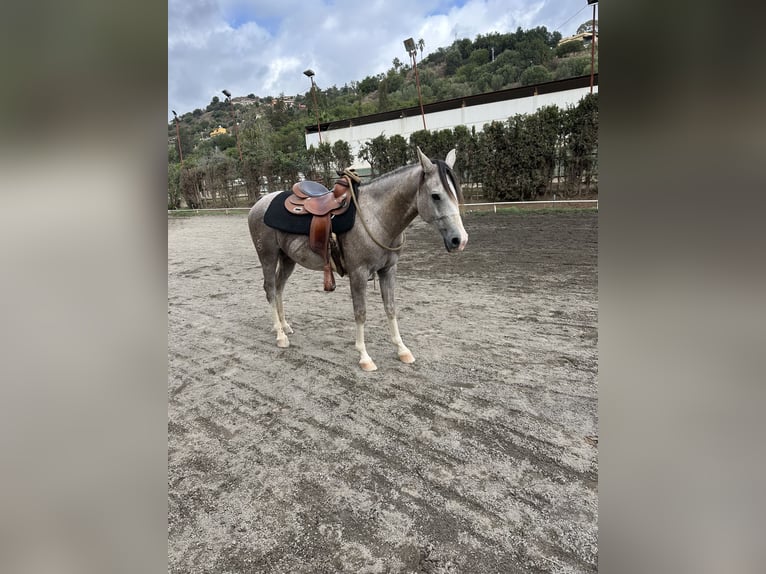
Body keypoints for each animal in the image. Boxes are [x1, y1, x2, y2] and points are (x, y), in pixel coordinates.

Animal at [250, 148, 468, 374]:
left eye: (456, 193)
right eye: (436, 195)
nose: (459, 240)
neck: (376, 217)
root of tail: (260, 203)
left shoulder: (388, 270)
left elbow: (391, 308)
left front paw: (402, 349)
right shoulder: (359, 273)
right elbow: (360, 313)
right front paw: (364, 357)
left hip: (287, 259)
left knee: (279, 288)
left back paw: (284, 326)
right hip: (268, 256)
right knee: (270, 289)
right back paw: (280, 335)